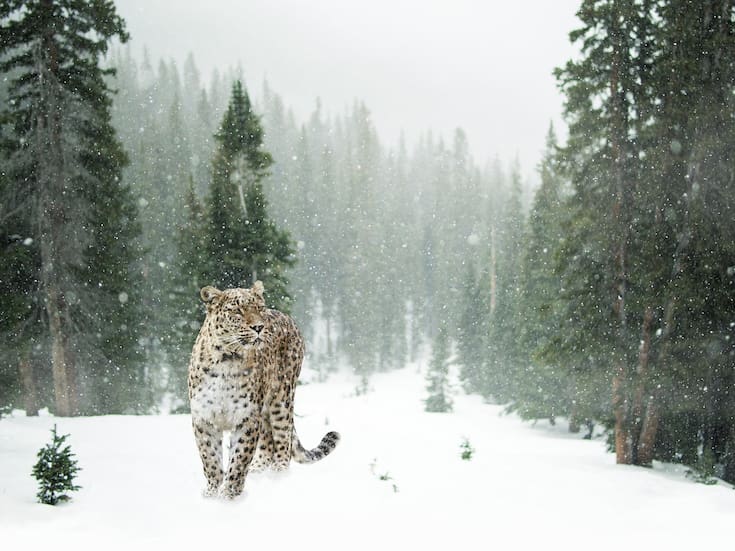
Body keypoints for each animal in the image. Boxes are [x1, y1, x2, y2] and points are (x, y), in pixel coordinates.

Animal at [188, 280, 340, 498]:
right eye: (237, 311)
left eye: (259, 308)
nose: (259, 327)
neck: (227, 360)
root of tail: (287, 317)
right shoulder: (204, 418)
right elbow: (210, 458)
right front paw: (212, 492)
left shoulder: (247, 417)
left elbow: (239, 458)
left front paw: (229, 494)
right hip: (266, 410)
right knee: (268, 443)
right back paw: (258, 470)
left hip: (282, 399)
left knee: (283, 440)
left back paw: (278, 475)